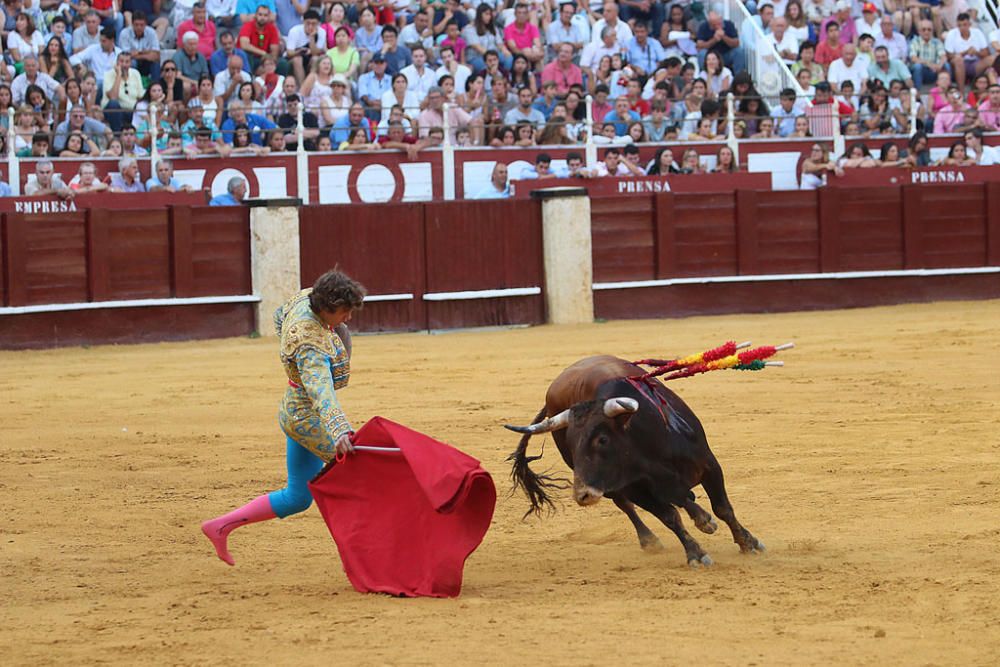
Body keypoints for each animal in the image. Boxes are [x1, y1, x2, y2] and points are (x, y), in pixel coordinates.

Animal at [508, 358, 764, 568]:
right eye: (569, 443)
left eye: (602, 439)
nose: (582, 495)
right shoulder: (633, 488)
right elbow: (670, 516)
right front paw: (696, 553)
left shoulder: (709, 465)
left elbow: (722, 508)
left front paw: (747, 543)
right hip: (613, 488)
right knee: (629, 505)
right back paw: (651, 539)